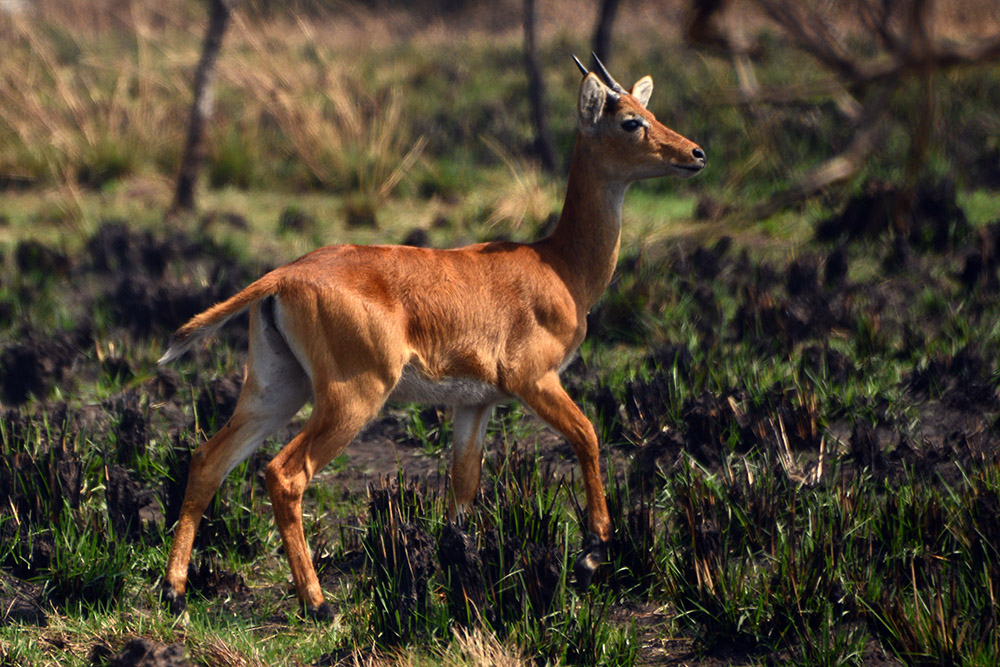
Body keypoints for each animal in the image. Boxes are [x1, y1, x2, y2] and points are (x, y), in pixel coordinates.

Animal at [158, 55, 705, 618]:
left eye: (650, 110)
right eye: (630, 122)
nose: (695, 153)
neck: (559, 266)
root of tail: (284, 276)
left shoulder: (475, 404)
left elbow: (462, 488)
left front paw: (453, 576)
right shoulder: (535, 380)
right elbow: (588, 436)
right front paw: (593, 553)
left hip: (276, 390)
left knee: (208, 459)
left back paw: (174, 590)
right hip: (352, 397)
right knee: (284, 474)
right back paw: (319, 603)